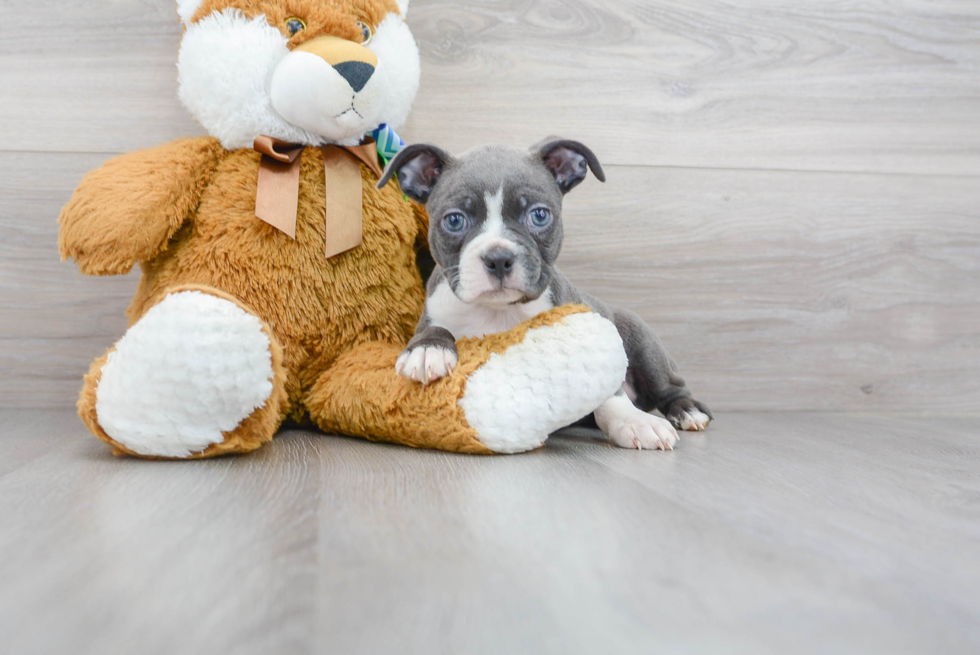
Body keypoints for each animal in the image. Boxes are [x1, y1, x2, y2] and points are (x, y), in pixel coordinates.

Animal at [378, 136, 712, 448]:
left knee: (670, 386)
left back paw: (686, 410)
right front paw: (427, 350)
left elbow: (610, 390)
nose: (498, 257)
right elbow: (431, 331)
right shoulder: (433, 313)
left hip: (641, 340)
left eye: (539, 216)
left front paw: (633, 421)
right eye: (454, 220)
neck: (498, 311)